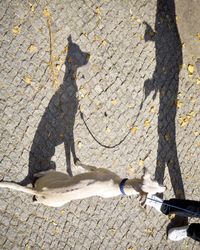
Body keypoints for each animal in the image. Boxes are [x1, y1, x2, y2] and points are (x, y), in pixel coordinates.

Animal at [0, 162, 165, 207]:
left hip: (54, 183)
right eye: (155, 192)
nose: (166, 187)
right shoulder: (96, 169)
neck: (121, 184)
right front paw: (77, 163)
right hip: (61, 177)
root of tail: (41, 192)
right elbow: (84, 165)